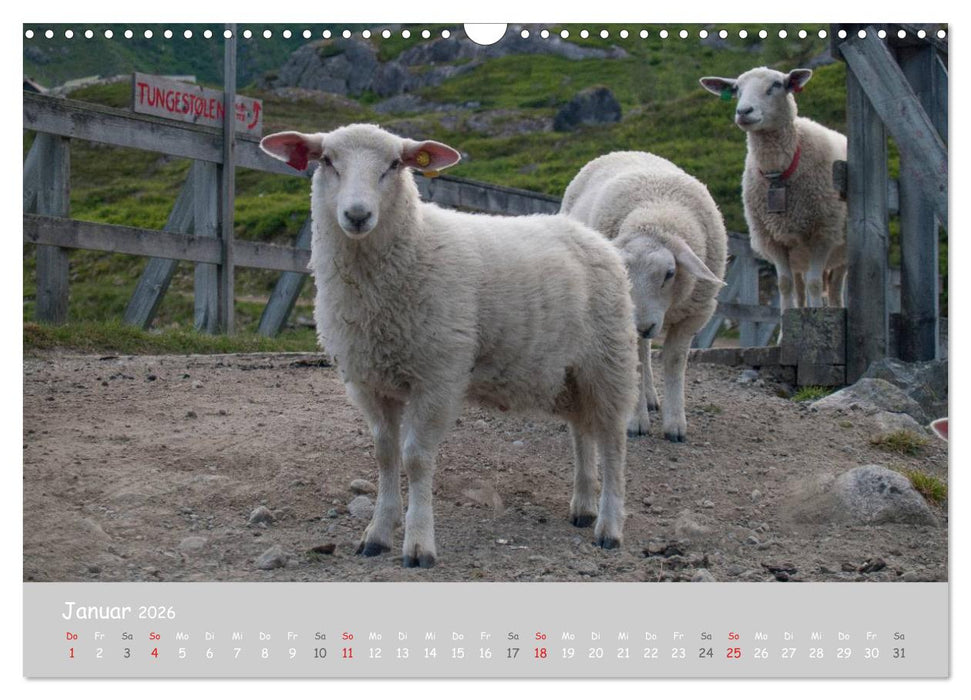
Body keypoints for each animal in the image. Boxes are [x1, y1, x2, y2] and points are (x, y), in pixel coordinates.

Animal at [260, 123, 638, 568]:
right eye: (327, 161)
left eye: (394, 164)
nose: (357, 215)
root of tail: (592, 236)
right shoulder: (370, 381)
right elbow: (385, 454)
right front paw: (377, 534)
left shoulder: (438, 375)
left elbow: (416, 458)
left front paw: (418, 544)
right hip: (568, 372)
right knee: (581, 431)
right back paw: (583, 506)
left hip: (609, 358)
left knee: (612, 440)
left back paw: (609, 527)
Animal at [562, 151, 727, 442]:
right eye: (622, 273)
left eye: (670, 273)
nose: (642, 325)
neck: (657, 213)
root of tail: (624, 151)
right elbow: (635, 362)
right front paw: (636, 422)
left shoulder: (694, 315)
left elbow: (674, 361)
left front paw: (675, 425)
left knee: (648, 349)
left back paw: (649, 396)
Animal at [699, 67, 847, 312]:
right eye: (737, 89)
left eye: (777, 85)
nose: (743, 111)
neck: (777, 174)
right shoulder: (773, 239)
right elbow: (784, 285)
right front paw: (786, 318)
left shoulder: (823, 234)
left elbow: (815, 284)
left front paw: (816, 313)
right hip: (799, 255)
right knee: (800, 291)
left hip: (841, 250)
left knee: (834, 291)